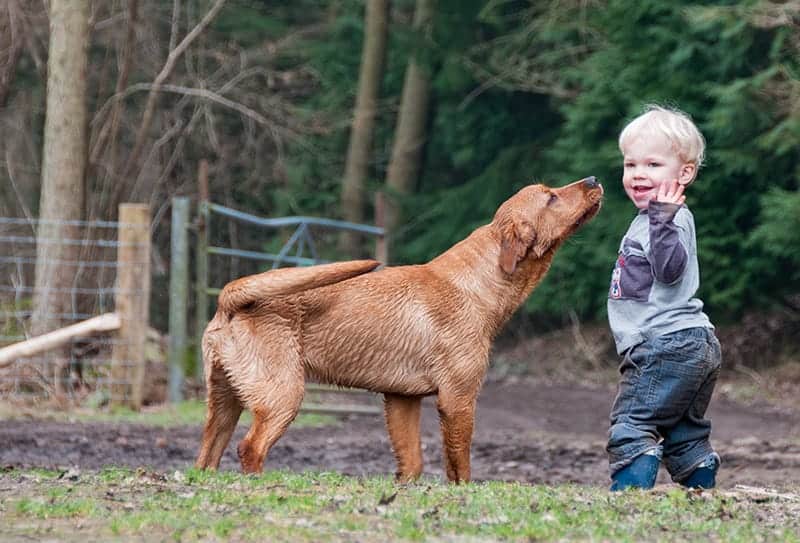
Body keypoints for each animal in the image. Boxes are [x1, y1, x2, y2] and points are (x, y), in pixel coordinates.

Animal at [197, 176, 604, 482]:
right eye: (551, 196)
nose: (594, 179)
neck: (479, 282)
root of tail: (230, 298)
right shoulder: (458, 399)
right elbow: (459, 468)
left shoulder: (401, 400)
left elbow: (412, 463)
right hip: (283, 396)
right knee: (250, 448)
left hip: (224, 404)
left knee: (207, 456)